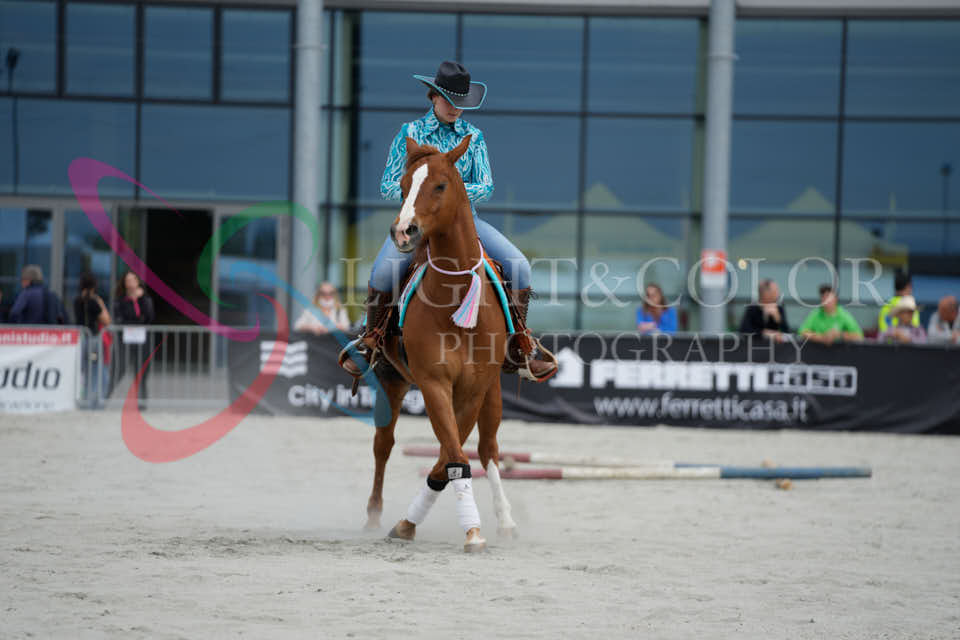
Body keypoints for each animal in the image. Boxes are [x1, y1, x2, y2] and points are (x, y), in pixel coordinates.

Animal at [361, 134, 517, 552]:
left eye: (441, 185)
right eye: (402, 186)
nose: (404, 232)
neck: (455, 299)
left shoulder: (474, 388)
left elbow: (453, 455)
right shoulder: (433, 383)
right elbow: (452, 456)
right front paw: (416, 524)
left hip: (494, 390)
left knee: (489, 449)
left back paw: (506, 520)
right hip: (392, 380)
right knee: (383, 445)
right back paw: (373, 515)